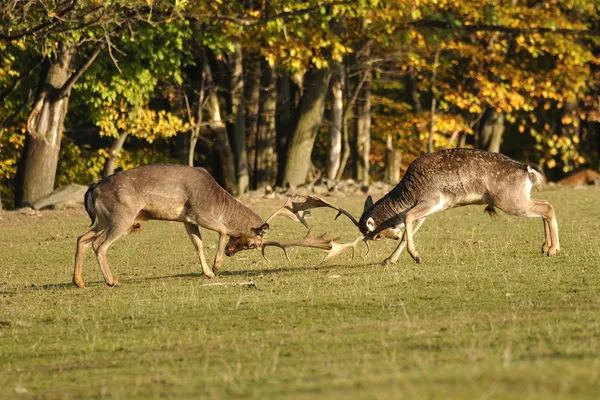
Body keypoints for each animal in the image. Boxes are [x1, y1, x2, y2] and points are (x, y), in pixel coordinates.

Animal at [72, 163, 340, 288]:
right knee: (99, 244)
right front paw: (216, 266)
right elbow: (221, 229)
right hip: (122, 216)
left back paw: (79, 281)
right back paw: (111, 280)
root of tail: (93, 189)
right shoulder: (198, 212)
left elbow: (198, 244)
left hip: (103, 219)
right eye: (252, 244)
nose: (231, 252)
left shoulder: (187, 220)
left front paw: (208, 272)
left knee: (81, 239)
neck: (217, 201)